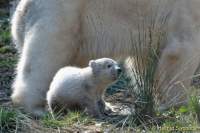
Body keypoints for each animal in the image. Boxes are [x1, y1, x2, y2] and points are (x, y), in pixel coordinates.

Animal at [11, 0, 200, 116]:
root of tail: (23, 9)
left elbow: (146, 63)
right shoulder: (184, 13)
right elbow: (182, 52)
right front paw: (181, 105)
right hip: (61, 17)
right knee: (45, 58)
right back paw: (35, 108)